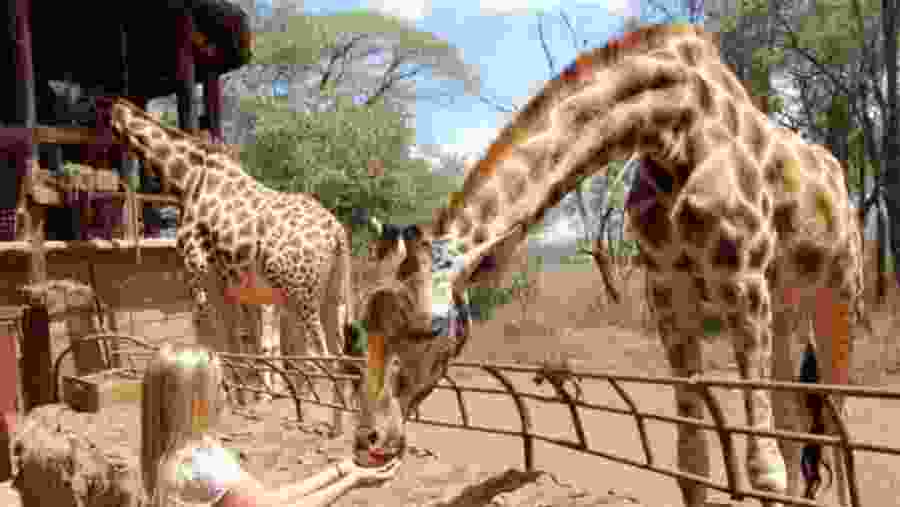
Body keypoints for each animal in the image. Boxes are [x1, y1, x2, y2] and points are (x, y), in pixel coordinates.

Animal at [101, 97, 357, 432]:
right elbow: (237, 344)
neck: (187, 179)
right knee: (337, 355)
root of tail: (337, 232)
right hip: (330, 296)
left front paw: (228, 403)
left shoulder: (199, 275)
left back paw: (318, 423)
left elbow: (215, 342)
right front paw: (243, 403)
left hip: (301, 295)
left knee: (321, 356)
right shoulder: (231, 288)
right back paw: (338, 423)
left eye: (104, 125)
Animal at [353, 24, 865, 507]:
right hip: (787, 304)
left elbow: (764, 468)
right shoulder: (667, 287)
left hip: (839, 294)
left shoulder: (742, 279)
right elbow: (691, 460)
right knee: (792, 412)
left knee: (837, 417)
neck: (672, 129)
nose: (368, 442)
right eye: (361, 325)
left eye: (432, 327)